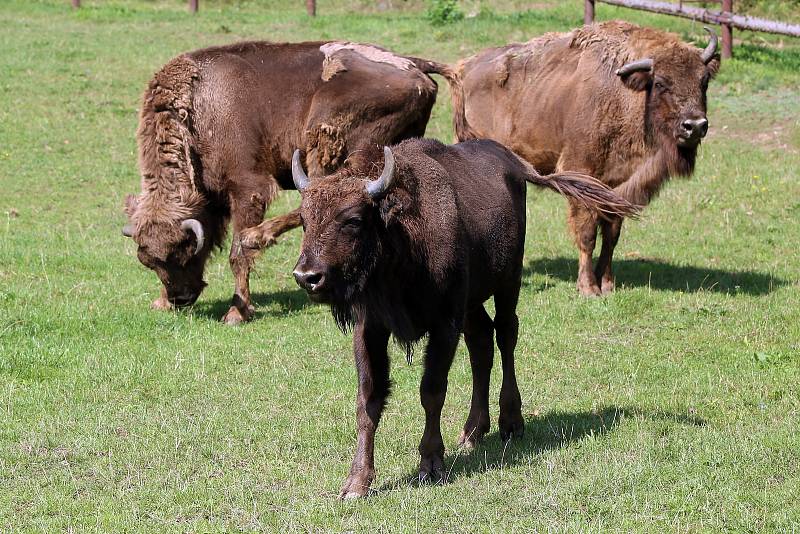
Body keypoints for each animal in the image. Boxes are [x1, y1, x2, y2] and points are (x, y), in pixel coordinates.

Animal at [121, 39, 446, 324]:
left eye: (186, 249)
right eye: (149, 261)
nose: (181, 298)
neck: (196, 109)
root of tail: (412, 65)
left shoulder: (248, 189)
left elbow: (237, 254)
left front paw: (236, 312)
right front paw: (160, 302)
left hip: (327, 139)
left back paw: (258, 235)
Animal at [288, 138, 636, 498]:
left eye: (353, 219)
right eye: (304, 219)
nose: (307, 276)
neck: (403, 235)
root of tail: (512, 162)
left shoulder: (445, 325)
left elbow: (431, 391)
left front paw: (431, 465)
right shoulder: (370, 328)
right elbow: (369, 398)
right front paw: (356, 482)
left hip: (508, 281)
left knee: (506, 335)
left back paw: (510, 423)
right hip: (472, 303)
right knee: (481, 345)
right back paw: (472, 432)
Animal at [450, 21, 720, 298]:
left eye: (704, 81)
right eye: (661, 83)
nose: (695, 126)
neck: (625, 95)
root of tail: (463, 69)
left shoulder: (618, 186)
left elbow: (611, 235)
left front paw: (608, 284)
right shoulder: (582, 175)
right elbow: (587, 234)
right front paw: (589, 288)